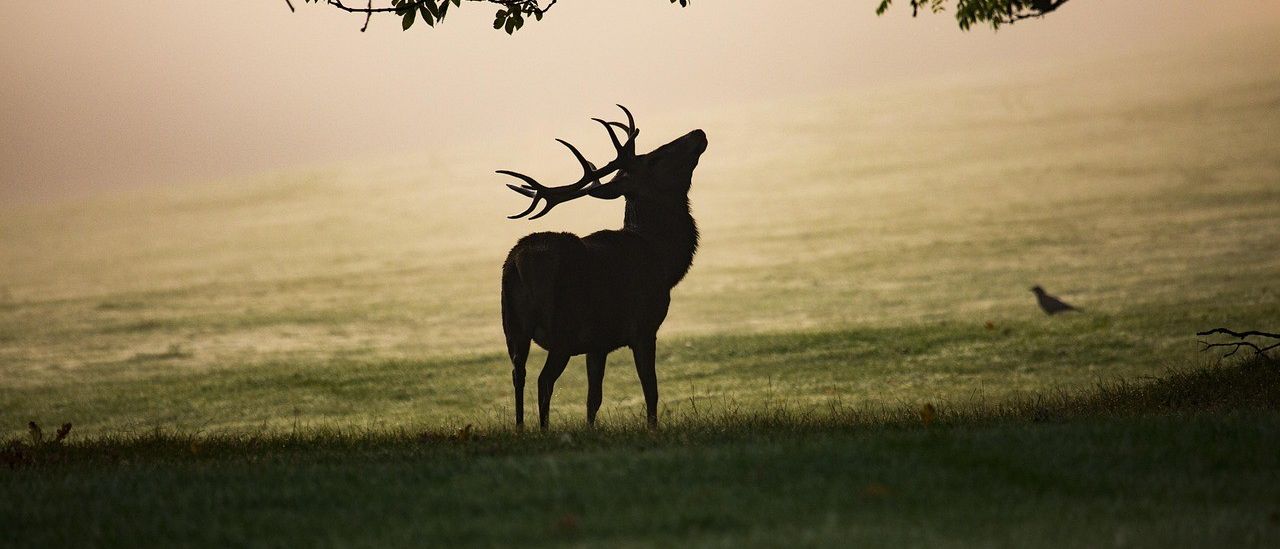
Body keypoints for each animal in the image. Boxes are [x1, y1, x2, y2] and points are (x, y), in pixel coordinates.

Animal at [498, 105, 707, 430]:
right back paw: (543, 430)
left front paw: (590, 429)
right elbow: (651, 389)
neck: (663, 260)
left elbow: (593, 399)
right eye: (655, 158)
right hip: (563, 327)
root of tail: (519, 263)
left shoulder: (597, 343)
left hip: (513, 326)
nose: (698, 133)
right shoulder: (644, 326)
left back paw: (521, 430)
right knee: (543, 381)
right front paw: (652, 428)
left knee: (517, 374)